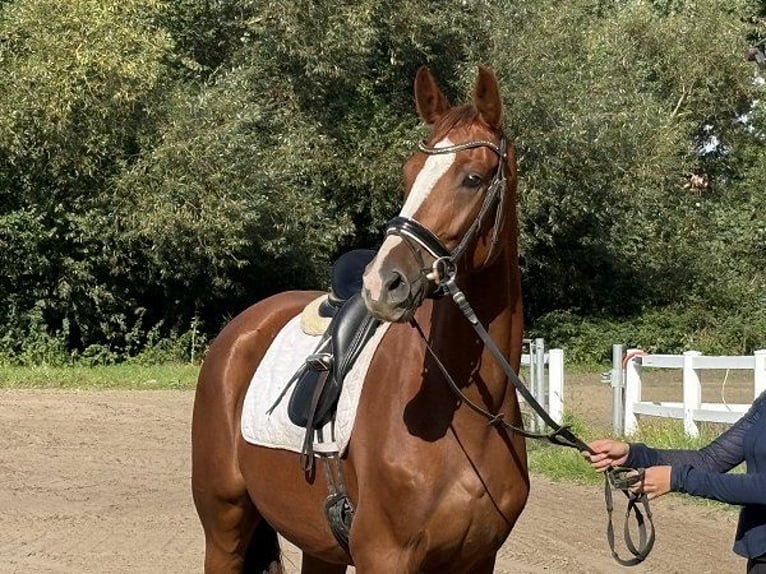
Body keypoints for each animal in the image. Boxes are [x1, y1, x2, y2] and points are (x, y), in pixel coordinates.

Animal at [191, 65, 528, 573]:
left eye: (472, 177)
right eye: (409, 172)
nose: (382, 282)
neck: (471, 421)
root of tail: (240, 329)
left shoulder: (478, 560)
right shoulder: (383, 554)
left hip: (319, 544)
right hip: (224, 526)